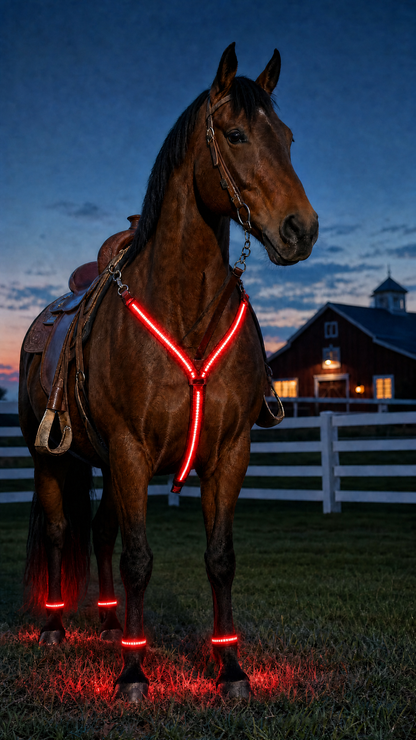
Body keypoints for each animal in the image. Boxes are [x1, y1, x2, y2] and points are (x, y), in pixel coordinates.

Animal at [19, 43, 318, 701]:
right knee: (59, 532)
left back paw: (109, 626)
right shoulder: (131, 452)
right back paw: (55, 627)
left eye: (288, 137)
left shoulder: (227, 454)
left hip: (105, 465)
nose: (301, 229)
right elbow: (139, 560)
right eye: (236, 134)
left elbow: (219, 559)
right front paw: (134, 674)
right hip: (52, 460)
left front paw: (230, 669)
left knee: (100, 532)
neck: (186, 312)